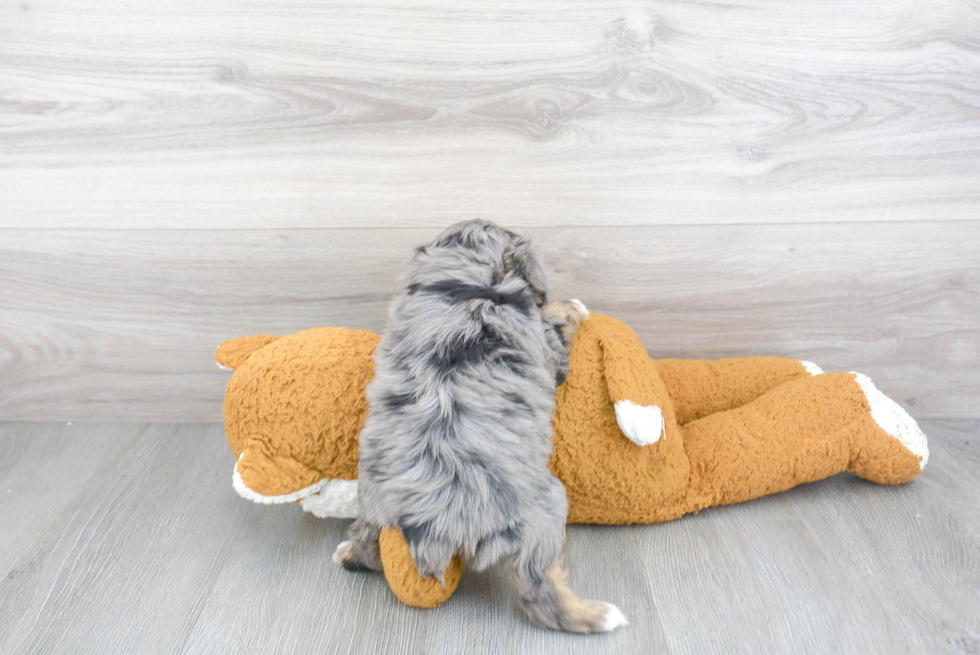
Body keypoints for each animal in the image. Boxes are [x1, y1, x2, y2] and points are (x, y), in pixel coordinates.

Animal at [334, 220, 628, 636]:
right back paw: (595, 615)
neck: (469, 285)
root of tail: (433, 523)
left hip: (374, 500)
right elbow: (554, 322)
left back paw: (348, 554)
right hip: (544, 511)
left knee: (366, 542)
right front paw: (572, 306)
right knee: (537, 588)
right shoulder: (546, 348)